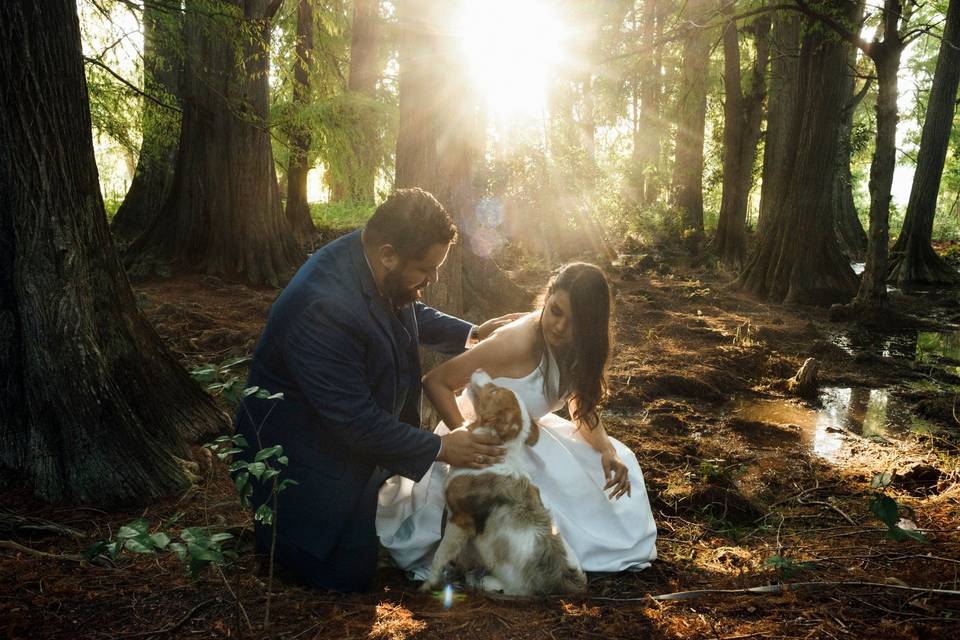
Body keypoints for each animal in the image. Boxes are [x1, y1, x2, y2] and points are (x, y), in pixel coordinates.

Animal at [420, 370, 584, 596]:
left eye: (494, 391)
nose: (479, 369)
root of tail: (559, 579)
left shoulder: (459, 519)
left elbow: (440, 555)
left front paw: (429, 583)